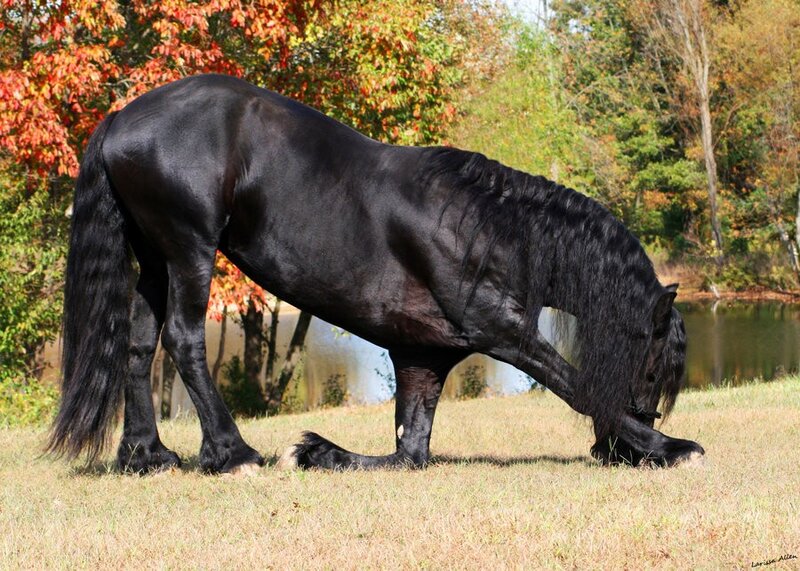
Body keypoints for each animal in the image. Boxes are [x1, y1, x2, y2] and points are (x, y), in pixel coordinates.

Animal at [48, 74, 704, 474]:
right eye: (652, 366)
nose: (615, 452)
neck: (483, 225)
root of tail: (121, 119)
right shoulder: (502, 331)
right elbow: (573, 383)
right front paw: (671, 446)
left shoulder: (423, 358)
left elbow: (409, 450)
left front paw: (319, 451)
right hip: (189, 248)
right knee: (185, 341)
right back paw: (232, 453)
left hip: (153, 257)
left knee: (138, 345)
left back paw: (146, 454)